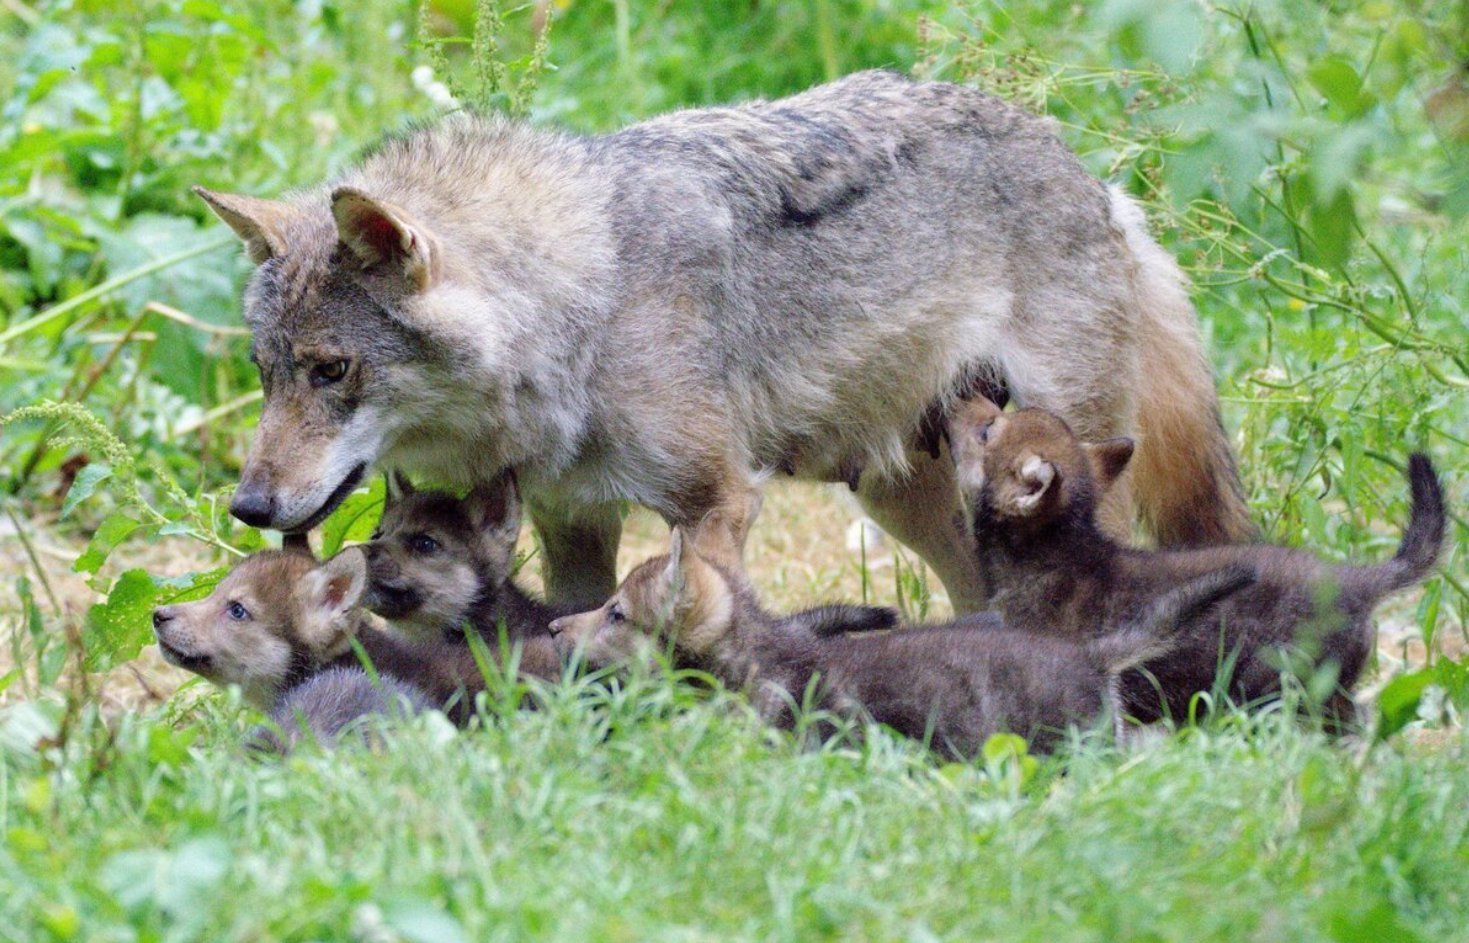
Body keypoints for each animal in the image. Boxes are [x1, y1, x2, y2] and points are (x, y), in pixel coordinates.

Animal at [195, 67, 1251, 611]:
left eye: (332, 370)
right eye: (265, 374)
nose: (248, 506)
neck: (586, 300)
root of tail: (1095, 178)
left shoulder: (715, 504)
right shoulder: (572, 518)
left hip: (1052, 472)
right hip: (912, 501)